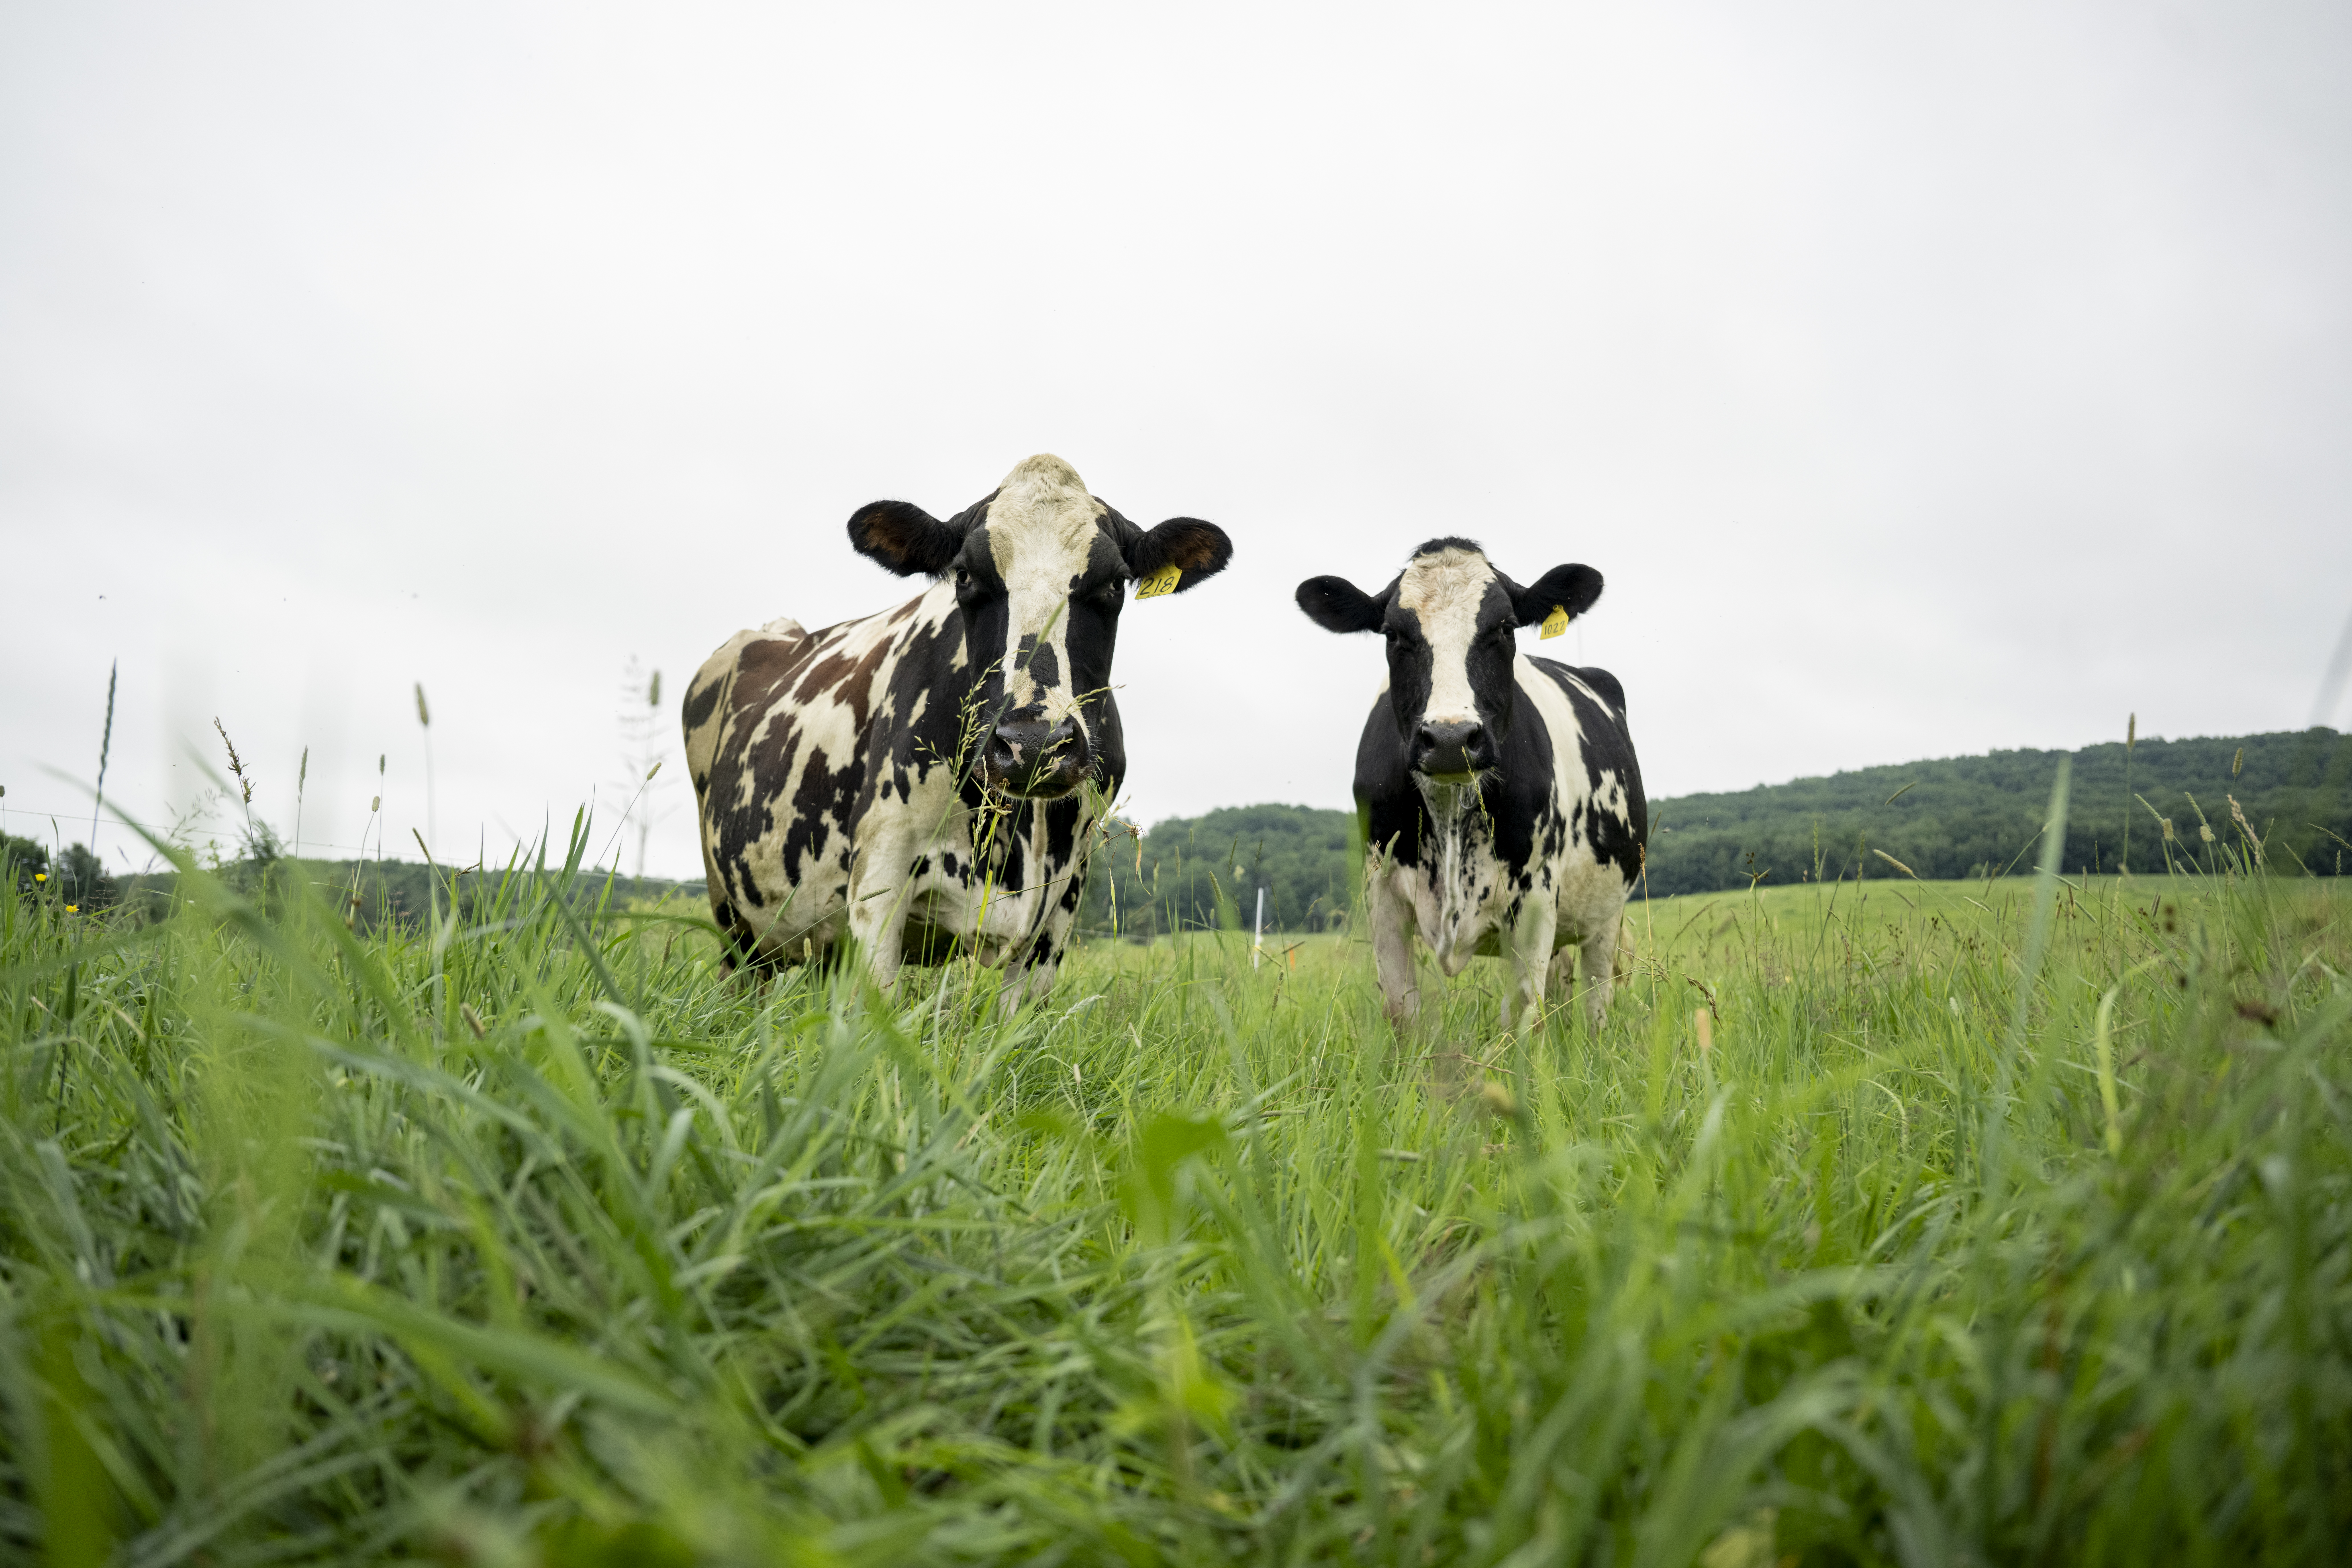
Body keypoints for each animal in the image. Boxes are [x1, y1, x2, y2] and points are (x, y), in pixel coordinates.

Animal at [684, 454, 1231, 1006]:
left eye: (1116, 583)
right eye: (965, 576)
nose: (1034, 744)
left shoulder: (1062, 901)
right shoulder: (879, 874)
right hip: (732, 915)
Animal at [1294, 538, 1647, 1033]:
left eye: (1504, 627)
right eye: (1392, 634)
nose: (1450, 739)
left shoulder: (1535, 898)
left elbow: (1522, 1015)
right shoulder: (1380, 893)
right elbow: (1402, 1011)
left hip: (1607, 912)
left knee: (1597, 997)